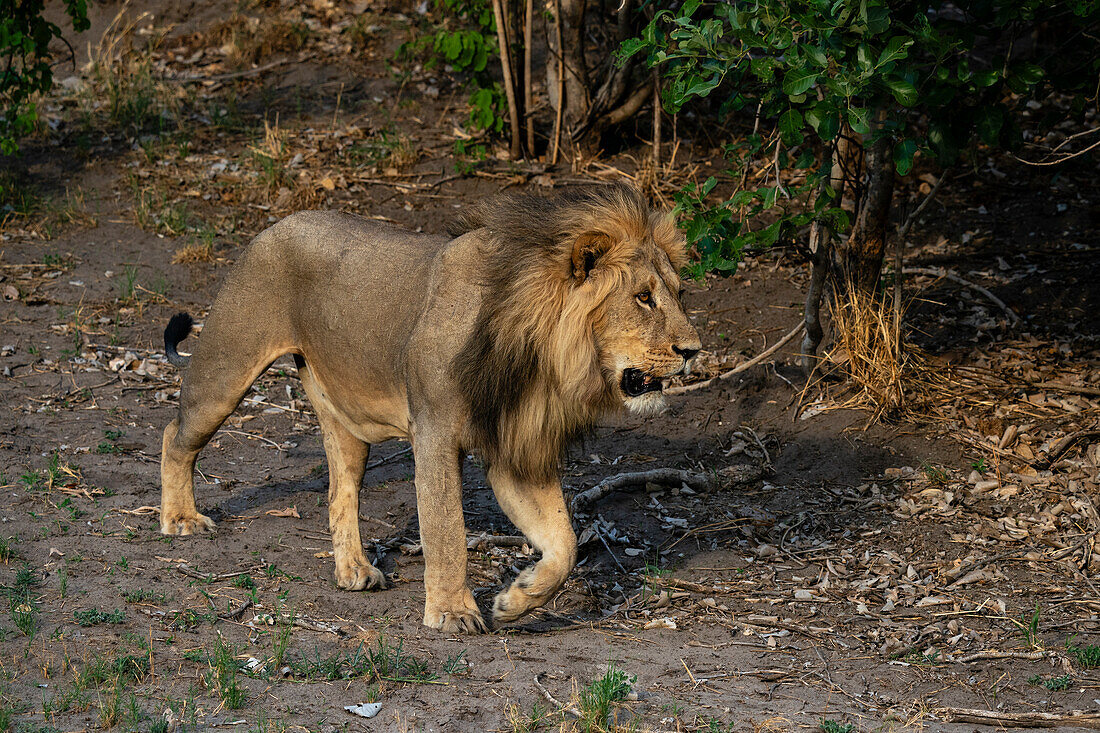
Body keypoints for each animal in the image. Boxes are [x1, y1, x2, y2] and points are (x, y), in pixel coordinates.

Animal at [159, 181, 699, 629]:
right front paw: (453, 613)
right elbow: (447, 529)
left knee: (340, 490)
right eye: (643, 298)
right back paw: (180, 519)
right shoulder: (435, 434)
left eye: (677, 294)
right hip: (227, 369)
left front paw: (515, 600)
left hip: (348, 421)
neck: (540, 356)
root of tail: (275, 223)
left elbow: (564, 544)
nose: (694, 350)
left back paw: (355, 570)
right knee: (174, 433)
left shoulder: (513, 449)